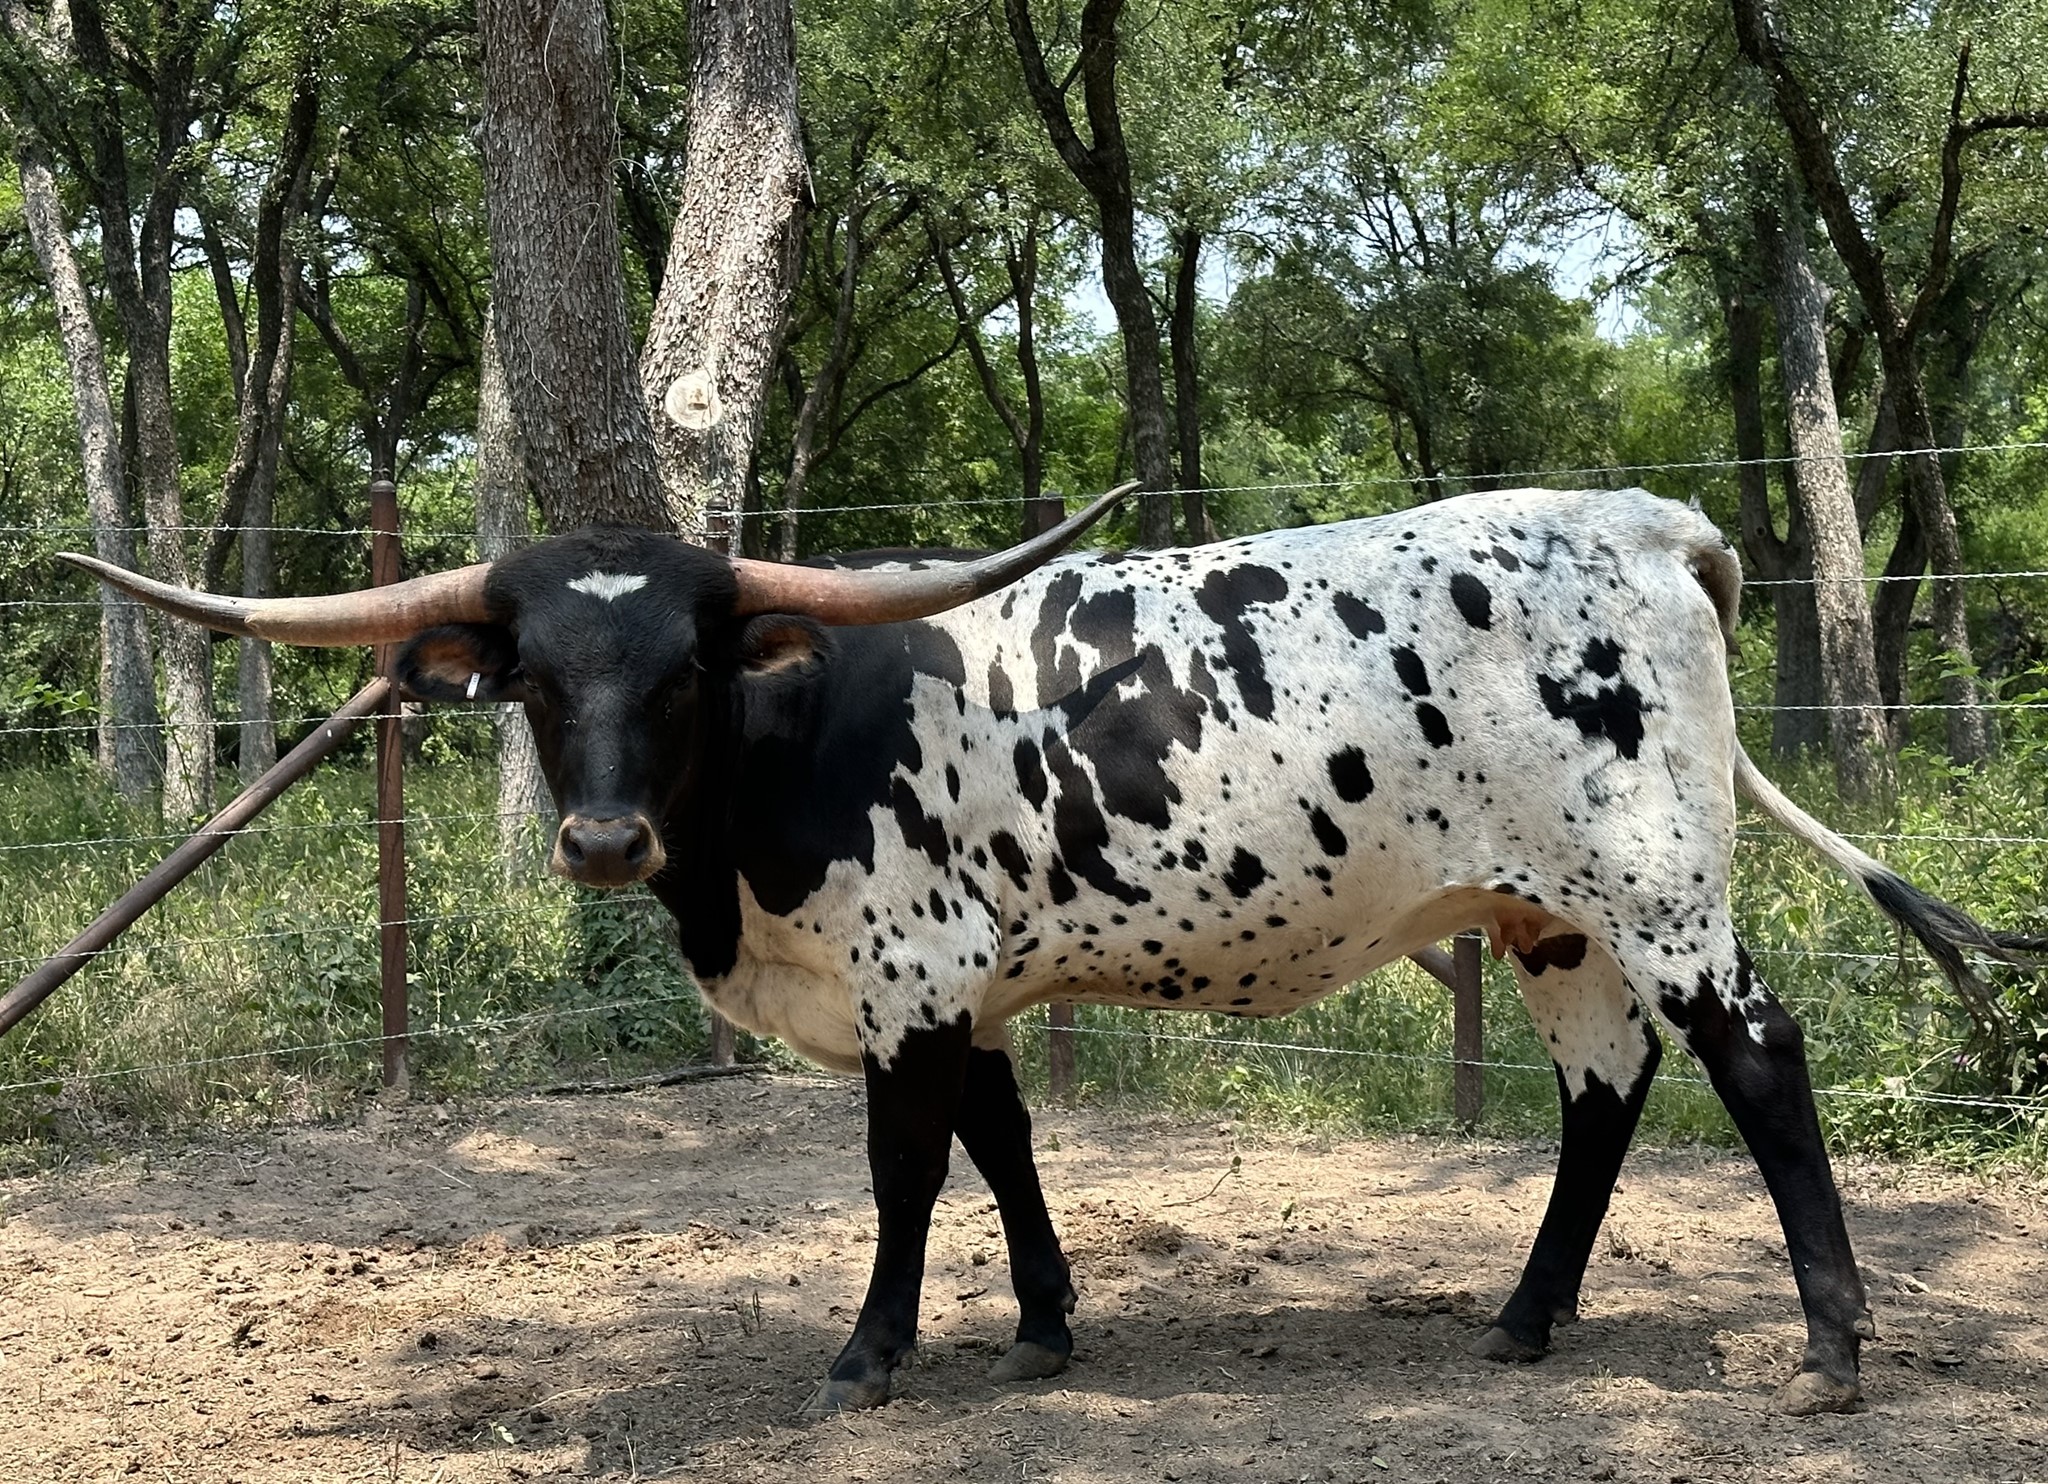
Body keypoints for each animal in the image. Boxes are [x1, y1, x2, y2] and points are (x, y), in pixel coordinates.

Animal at [65, 484, 2041, 1419]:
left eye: (687, 668)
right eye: (539, 679)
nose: (604, 839)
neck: (799, 735)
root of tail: (1651, 522)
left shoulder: (908, 974)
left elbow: (902, 1170)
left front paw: (870, 1357)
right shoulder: (975, 985)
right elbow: (1004, 1145)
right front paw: (1041, 1327)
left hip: (1654, 882)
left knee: (1755, 1057)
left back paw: (1832, 1346)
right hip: (1544, 911)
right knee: (1604, 1091)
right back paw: (1522, 1318)